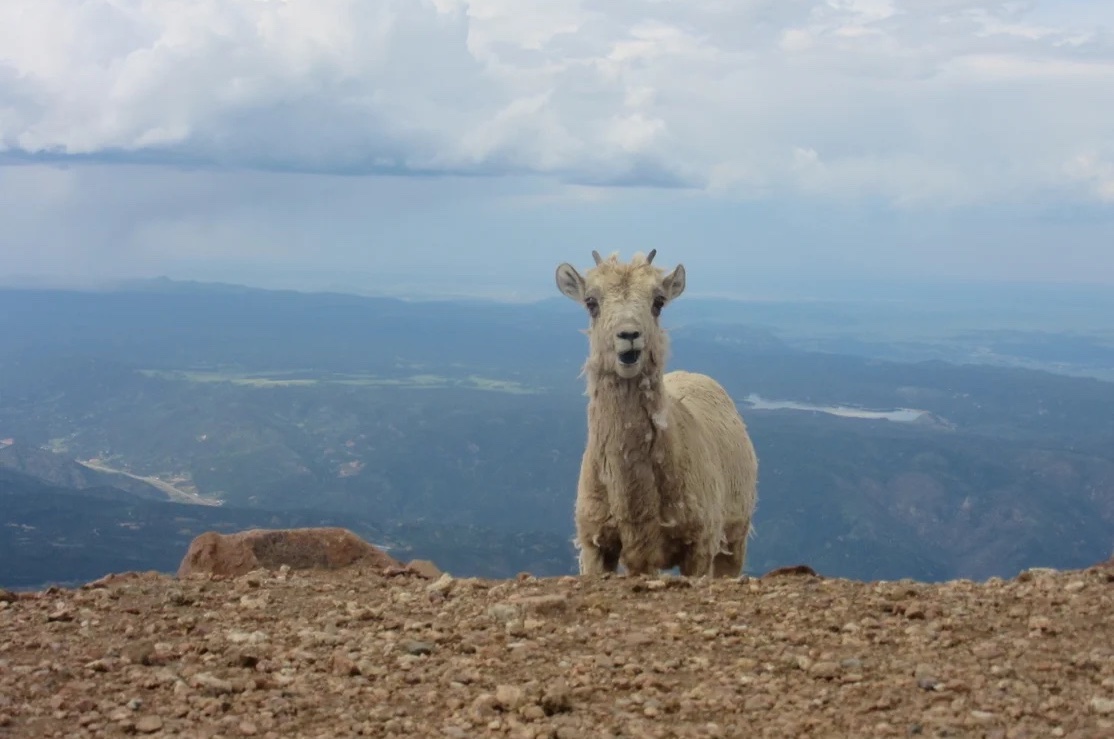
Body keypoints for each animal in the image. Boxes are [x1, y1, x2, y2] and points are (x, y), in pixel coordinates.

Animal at [554, 248, 757, 579]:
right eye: (591, 302)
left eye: (658, 301)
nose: (629, 336)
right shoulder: (597, 545)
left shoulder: (699, 546)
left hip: (735, 536)